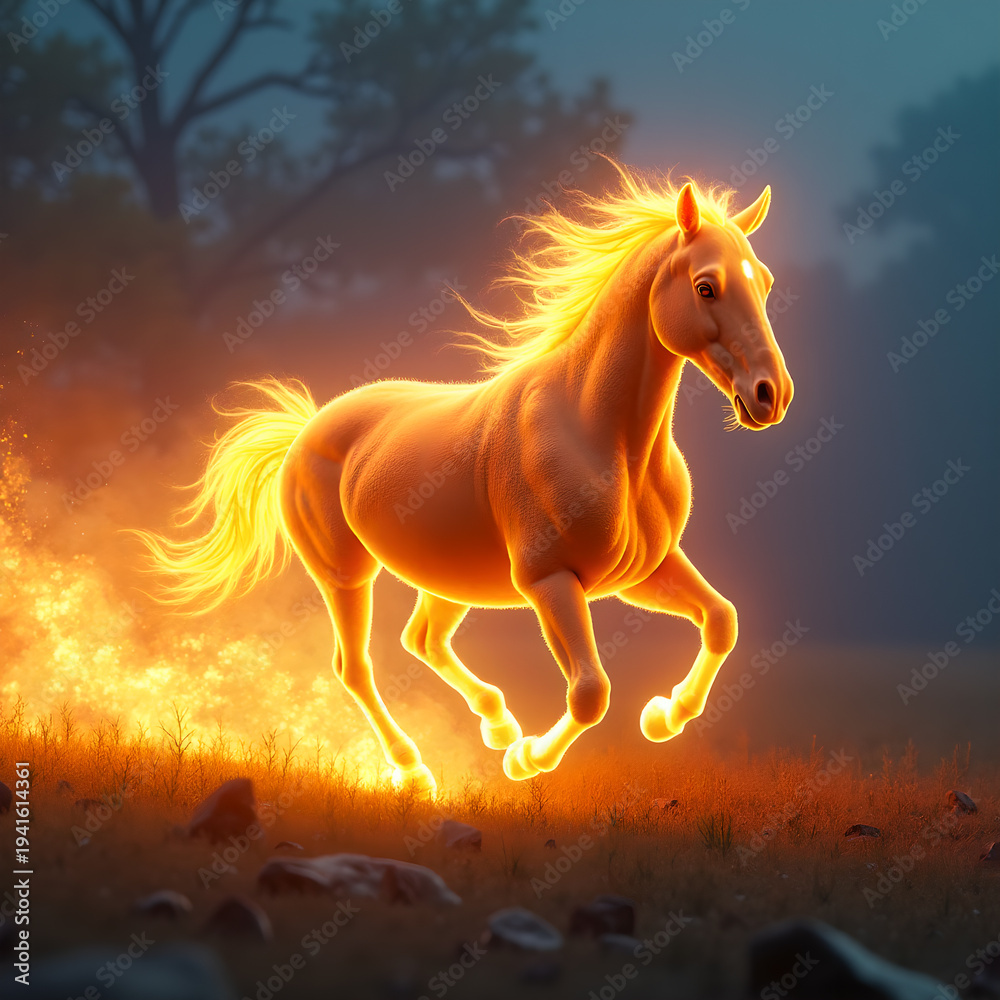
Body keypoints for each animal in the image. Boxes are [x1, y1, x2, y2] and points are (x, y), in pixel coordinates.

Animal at [138, 165, 793, 798]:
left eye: (764, 281)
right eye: (706, 286)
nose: (771, 395)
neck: (598, 434)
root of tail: (304, 431)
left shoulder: (644, 571)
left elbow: (722, 621)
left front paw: (662, 717)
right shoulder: (550, 581)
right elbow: (590, 693)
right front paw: (528, 761)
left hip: (448, 576)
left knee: (422, 640)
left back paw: (496, 721)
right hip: (345, 575)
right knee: (357, 667)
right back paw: (414, 772)